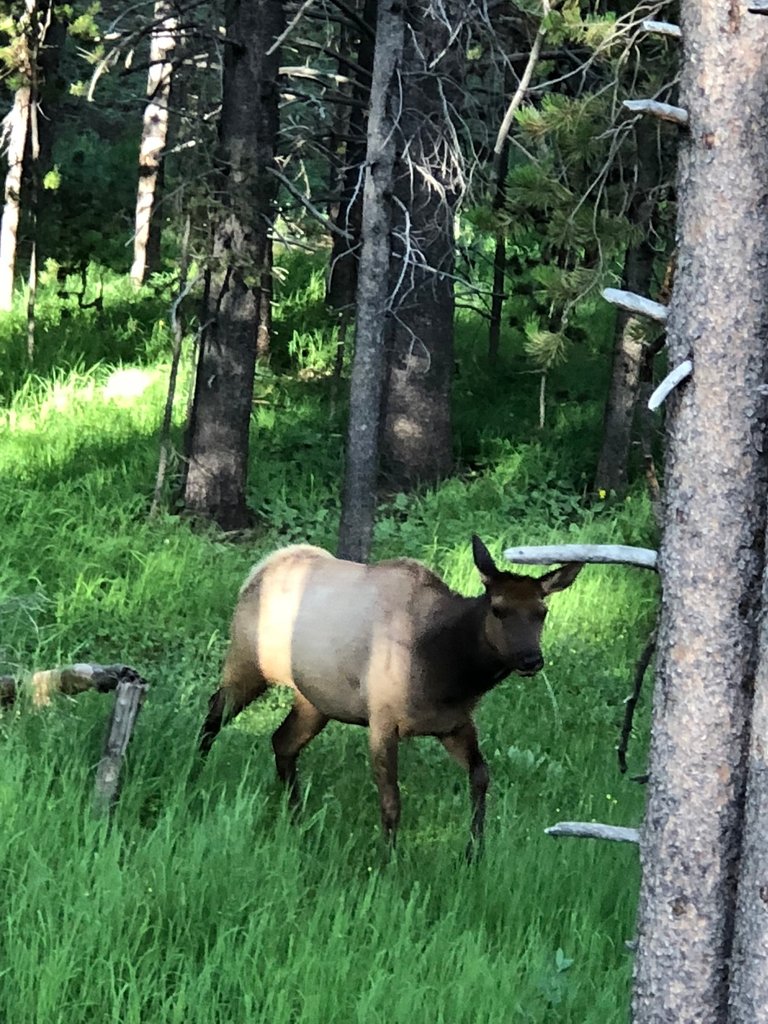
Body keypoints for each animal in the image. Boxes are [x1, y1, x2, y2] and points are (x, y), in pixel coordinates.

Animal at [201, 532, 581, 851]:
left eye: (542, 611)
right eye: (499, 609)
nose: (531, 659)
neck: (449, 675)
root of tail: (259, 569)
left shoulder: (454, 723)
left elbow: (481, 775)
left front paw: (475, 851)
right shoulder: (383, 720)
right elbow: (391, 801)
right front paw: (388, 860)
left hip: (314, 699)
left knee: (282, 741)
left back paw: (296, 817)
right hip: (246, 664)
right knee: (213, 714)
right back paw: (196, 777)